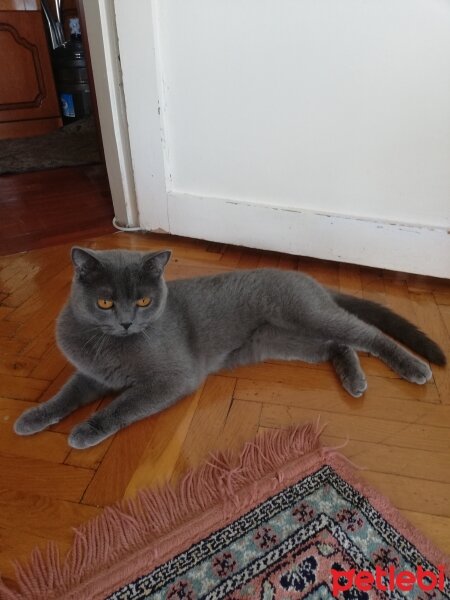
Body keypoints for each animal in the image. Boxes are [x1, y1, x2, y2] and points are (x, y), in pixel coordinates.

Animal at [14, 246, 446, 448]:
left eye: (144, 301)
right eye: (104, 302)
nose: (126, 322)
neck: (109, 345)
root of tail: (309, 280)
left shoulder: (172, 379)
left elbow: (123, 405)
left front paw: (87, 430)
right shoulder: (91, 376)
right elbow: (65, 395)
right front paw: (33, 418)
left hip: (307, 315)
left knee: (366, 334)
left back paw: (413, 368)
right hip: (283, 338)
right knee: (337, 344)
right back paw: (353, 380)